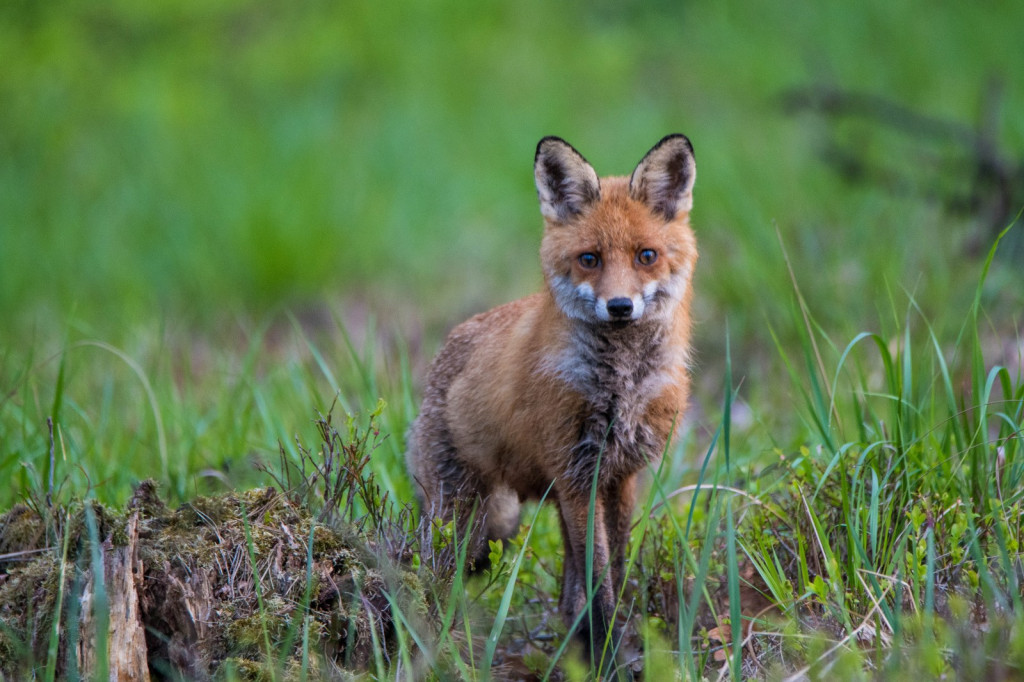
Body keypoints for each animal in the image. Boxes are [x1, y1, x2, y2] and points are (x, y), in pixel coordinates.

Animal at [405, 134, 696, 663]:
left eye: (646, 256)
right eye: (590, 259)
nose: (619, 306)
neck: (619, 384)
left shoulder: (617, 476)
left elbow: (612, 571)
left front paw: (604, 651)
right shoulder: (578, 475)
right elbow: (598, 582)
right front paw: (607, 659)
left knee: (565, 594)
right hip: (459, 516)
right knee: (429, 577)